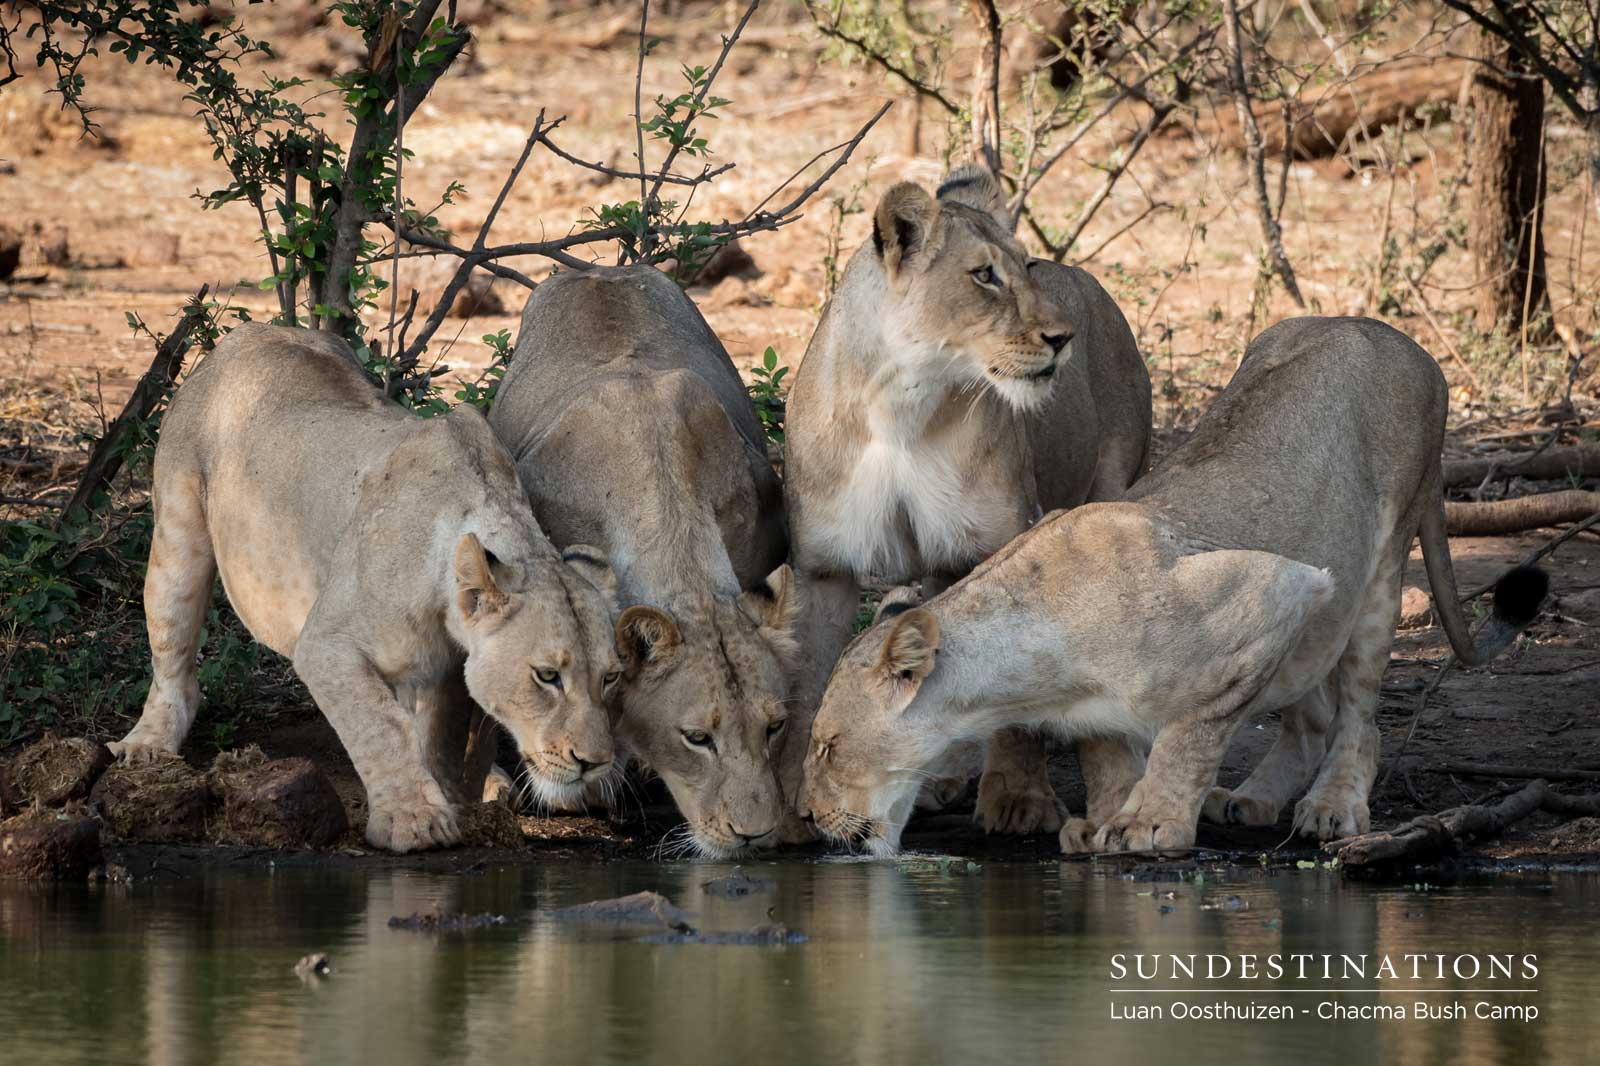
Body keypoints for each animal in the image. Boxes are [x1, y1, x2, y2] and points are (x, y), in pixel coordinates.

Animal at [112, 323, 623, 853]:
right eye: (547, 676)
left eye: (611, 677)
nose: (594, 763)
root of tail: (252, 330)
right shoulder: (326, 643)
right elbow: (380, 727)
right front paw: (414, 819)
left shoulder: (444, 670)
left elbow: (441, 737)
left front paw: (450, 796)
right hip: (177, 535)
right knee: (173, 651)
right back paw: (147, 744)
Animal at [778, 163, 1153, 841]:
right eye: (984, 275)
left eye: (1028, 265)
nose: (1062, 337)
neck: (901, 402)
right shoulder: (827, 563)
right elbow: (808, 681)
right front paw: (796, 795)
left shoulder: (997, 538)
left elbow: (1011, 696)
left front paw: (1019, 800)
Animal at [796, 316, 1547, 856]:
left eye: (828, 746)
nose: (806, 816)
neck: (1029, 675)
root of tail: (1393, 334)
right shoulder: (1098, 708)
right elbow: (1107, 752)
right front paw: (1101, 821)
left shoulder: (1278, 589)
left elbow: (1191, 734)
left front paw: (1150, 822)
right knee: (1309, 711)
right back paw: (1254, 798)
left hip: (1379, 570)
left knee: (1359, 717)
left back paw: (1332, 805)